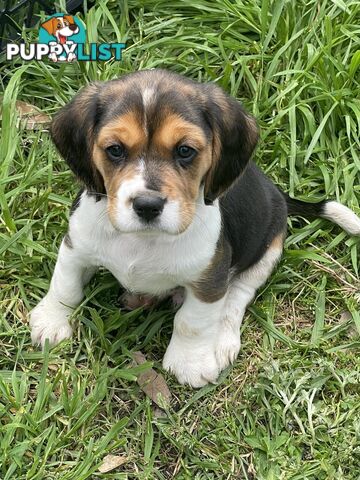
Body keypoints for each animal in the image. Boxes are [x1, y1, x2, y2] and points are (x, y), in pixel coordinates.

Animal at [30, 69, 360, 388]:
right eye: (115, 150)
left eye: (185, 151)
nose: (147, 205)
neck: (144, 239)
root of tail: (277, 192)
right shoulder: (76, 247)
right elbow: (65, 286)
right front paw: (51, 322)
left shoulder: (209, 279)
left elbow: (192, 322)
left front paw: (190, 363)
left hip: (269, 249)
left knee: (237, 295)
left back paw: (222, 340)